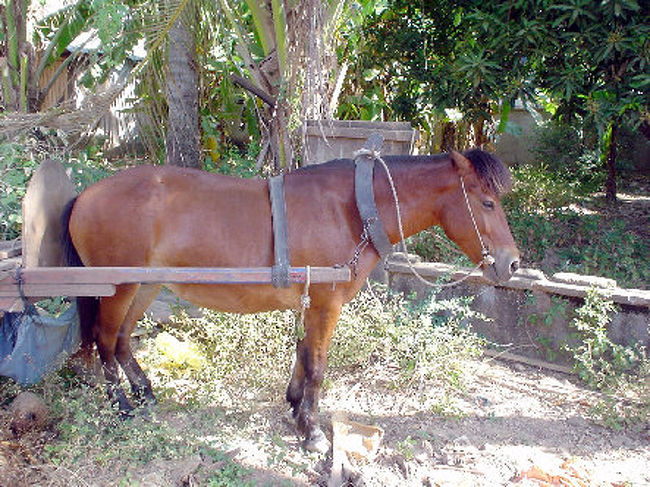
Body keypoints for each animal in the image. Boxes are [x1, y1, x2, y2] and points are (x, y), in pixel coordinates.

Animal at [61, 148, 520, 453]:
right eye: (487, 202)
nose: (512, 263)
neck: (353, 210)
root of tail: (84, 195)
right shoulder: (325, 304)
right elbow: (317, 366)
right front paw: (312, 431)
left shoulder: (311, 303)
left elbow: (302, 355)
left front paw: (296, 407)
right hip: (118, 286)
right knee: (104, 338)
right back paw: (121, 403)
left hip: (146, 285)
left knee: (122, 339)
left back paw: (144, 392)